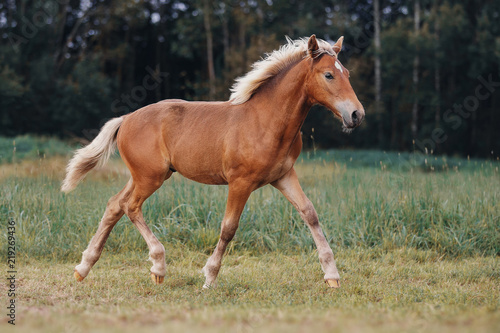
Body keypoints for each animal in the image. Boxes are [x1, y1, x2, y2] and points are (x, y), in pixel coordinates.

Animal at [64, 34, 366, 288]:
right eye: (328, 74)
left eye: (347, 74)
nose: (356, 115)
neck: (266, 121)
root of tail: (126, 119)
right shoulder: (240, 182)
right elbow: (229, 228)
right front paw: (209, 277)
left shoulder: (284, 176)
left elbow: (310, 214)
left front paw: (332, 275)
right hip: (151, 177)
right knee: (130, 206)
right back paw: (158, 267)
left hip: (143, 175)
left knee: (115, 205)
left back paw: (83, 268)